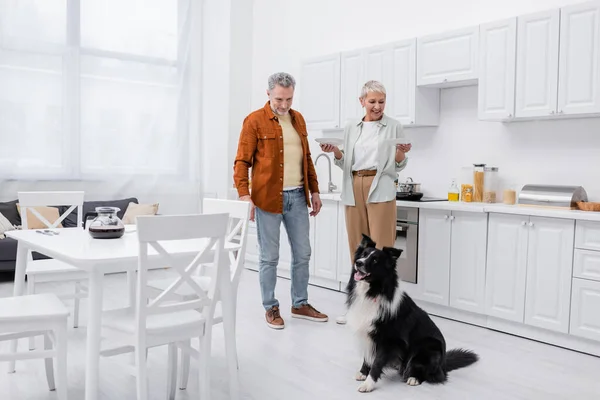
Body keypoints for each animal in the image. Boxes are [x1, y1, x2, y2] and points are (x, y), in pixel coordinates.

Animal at [346, 233, 478, 392]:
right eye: (363, 255)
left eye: (375, 260)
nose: (358, 262)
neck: (373, 292)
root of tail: (444, 364)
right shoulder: (367, 332)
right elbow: (368, 356)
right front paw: (363, 373)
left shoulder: (388, 339)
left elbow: (377, 362)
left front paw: (368, 384)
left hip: (429, 347)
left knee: (434, 375)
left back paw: (414, 378)